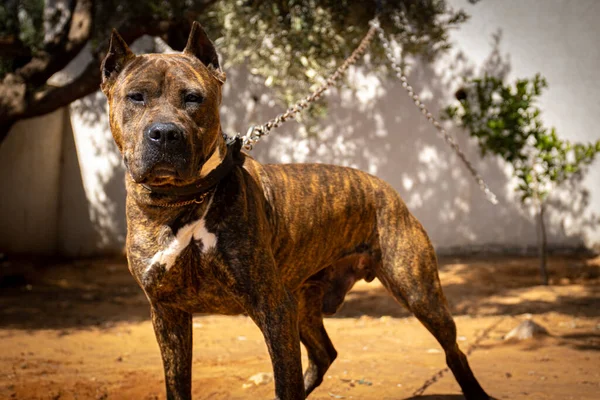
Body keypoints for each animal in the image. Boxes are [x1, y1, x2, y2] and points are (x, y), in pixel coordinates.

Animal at [101, 22, 490, 400]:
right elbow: (177, 384)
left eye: (193, 98)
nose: (165, 133)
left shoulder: (273, 307)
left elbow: (284, 381)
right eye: (136, 96)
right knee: (325, 353)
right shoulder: (168, 313)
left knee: (454, 351)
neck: (183, 201)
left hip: (418, 292)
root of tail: (386, 188)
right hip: (304, 302)